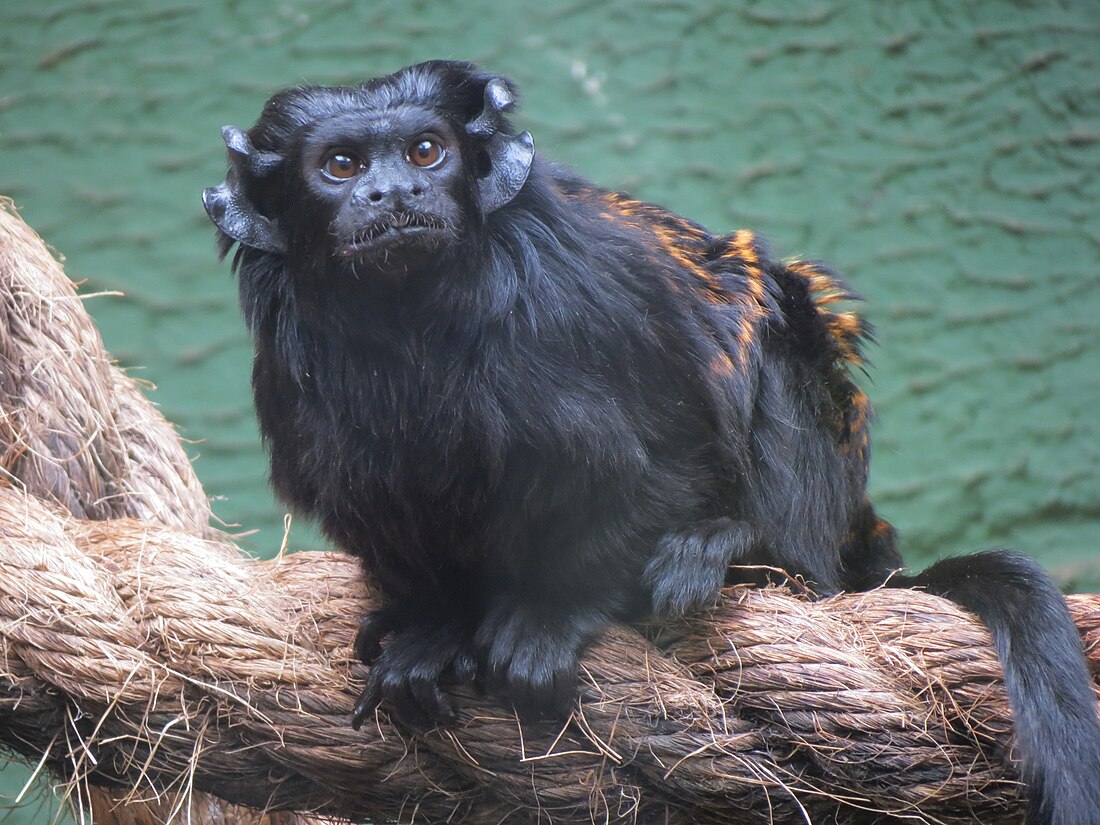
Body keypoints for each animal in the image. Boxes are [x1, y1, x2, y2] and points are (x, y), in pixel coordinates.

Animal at [206, 59, 1100, 825]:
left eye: (427, 151)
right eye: (342, 164)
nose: (394, 191)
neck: (413, 313)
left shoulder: (571, 299)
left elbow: (646, 461)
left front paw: (555, 612)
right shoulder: (296, 382)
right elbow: (379, 492)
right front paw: (436, 623)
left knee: (769, 322)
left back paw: (745, 552)